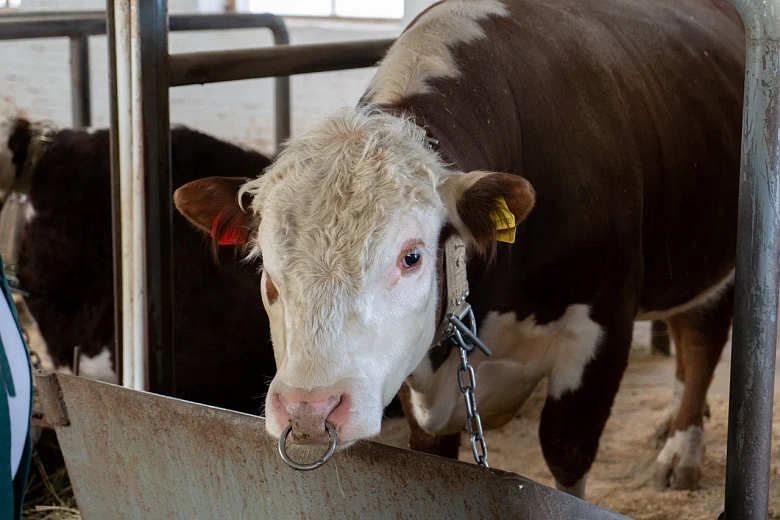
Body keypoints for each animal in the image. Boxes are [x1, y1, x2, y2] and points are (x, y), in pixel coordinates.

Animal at [172, 0, 744, 498]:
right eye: (267, 271)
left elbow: (566, 453)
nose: (310, 411)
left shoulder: (601, 327)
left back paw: (682, 449)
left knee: (703, 336)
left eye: (412, 257)